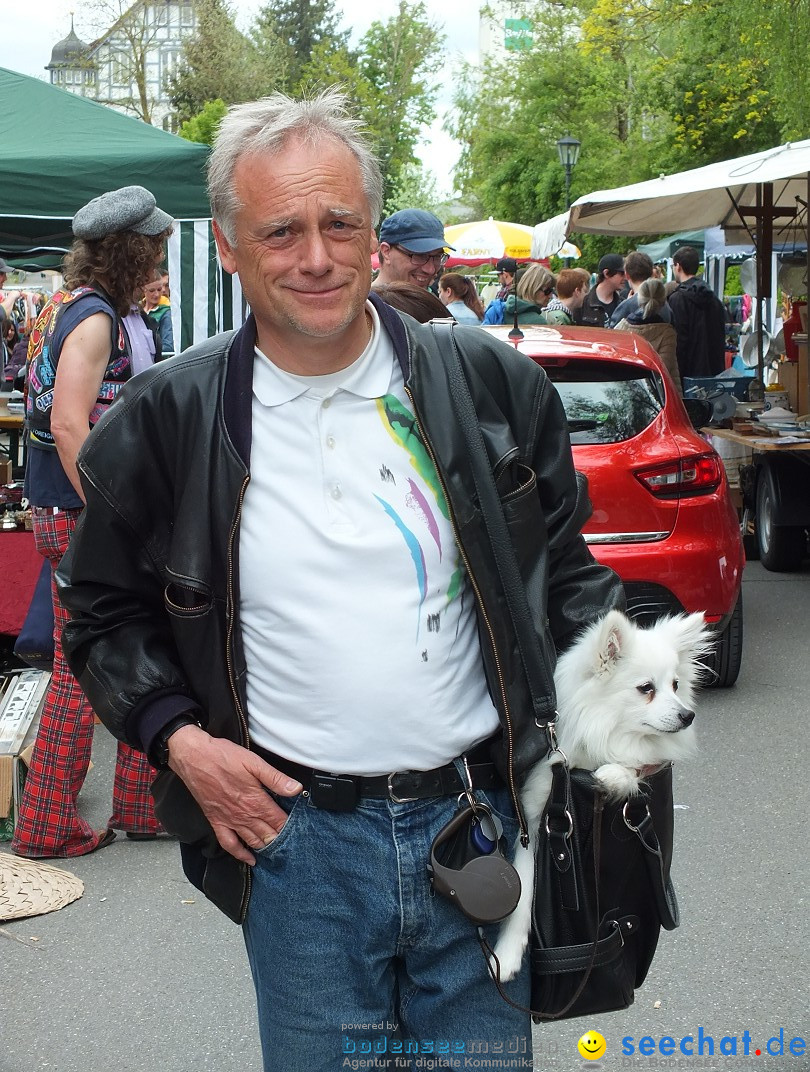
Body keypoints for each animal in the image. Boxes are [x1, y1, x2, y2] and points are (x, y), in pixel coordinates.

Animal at [490, 608, 711, 981]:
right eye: (646, 689)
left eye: (676, 685)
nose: (687, 715)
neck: (602, 730)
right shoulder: (534, 818)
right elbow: (523, 890)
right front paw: (506, 956)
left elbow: (628, 766)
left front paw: (613, 775)